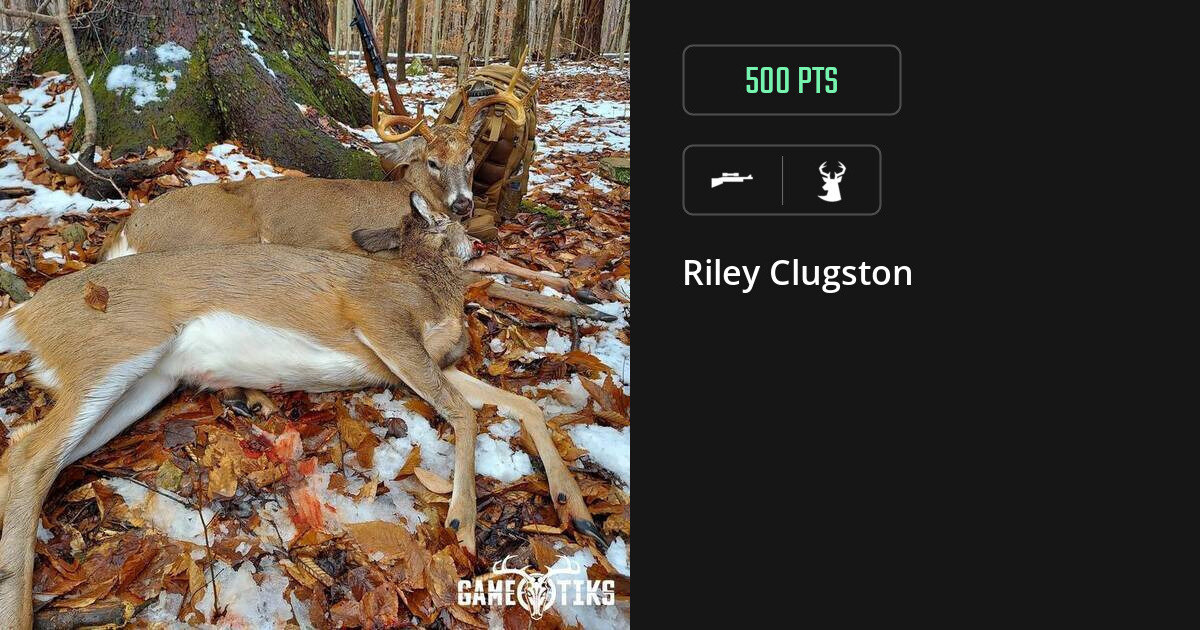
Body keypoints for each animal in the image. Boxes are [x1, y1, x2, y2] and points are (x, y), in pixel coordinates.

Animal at [0, 192, 602, 626]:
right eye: (450, 217)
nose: (478, 233)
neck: (431, 290)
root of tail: (26, 313)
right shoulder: (382, 323)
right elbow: (464, 413)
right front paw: (463, 527)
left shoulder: (423, 361)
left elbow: (524, 404)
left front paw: (577, 511)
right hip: (116, 348)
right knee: (29, 456)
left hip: (145, 383)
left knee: (25, 457)